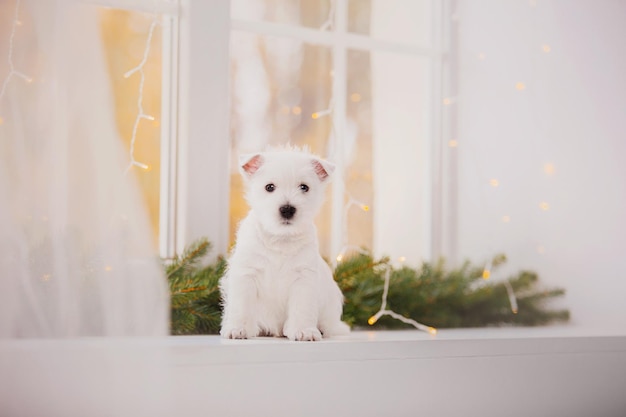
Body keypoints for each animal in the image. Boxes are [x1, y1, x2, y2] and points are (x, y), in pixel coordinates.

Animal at [219, 145, 348, 340]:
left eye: (304, 187)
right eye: (269, 187)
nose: (287, 209)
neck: (280, 239)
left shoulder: (303, 277)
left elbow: (302, 307)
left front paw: (304, 331)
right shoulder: (246, 274)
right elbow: (241, 306)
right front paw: (238, 329)